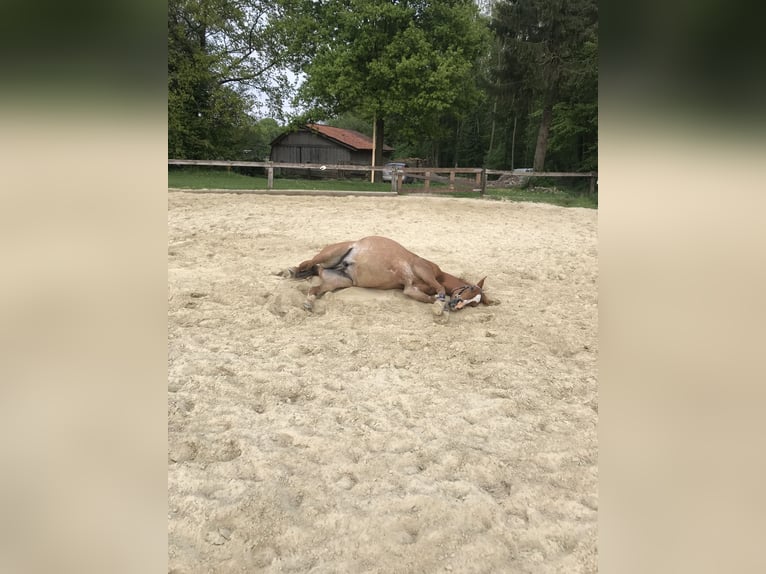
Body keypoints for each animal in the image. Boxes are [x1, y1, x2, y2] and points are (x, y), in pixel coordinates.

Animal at [284, 235, 496, 312]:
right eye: (470, 288)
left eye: (474, 304)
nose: (456, 305)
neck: (440, 274)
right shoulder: (424, 270)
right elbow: (440, 290)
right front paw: (442, 302)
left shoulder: (410, 289)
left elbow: (429, 298)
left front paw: (440, 304)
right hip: (330, 255)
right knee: (308, 263)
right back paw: (289, 271)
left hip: (338, 281)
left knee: (314, 287)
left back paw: (309, 302)